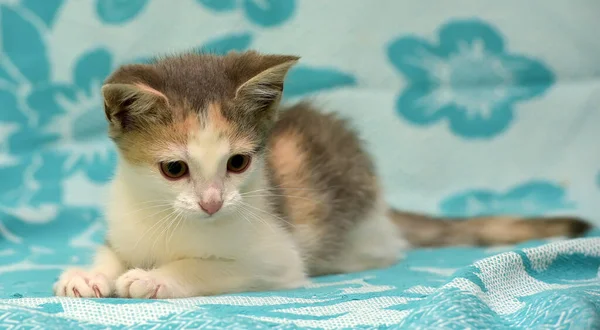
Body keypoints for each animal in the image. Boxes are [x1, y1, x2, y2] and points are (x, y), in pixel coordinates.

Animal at [52, 51, 592, 300]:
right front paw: (88, 273)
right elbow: (112, 251)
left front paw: (155, 277)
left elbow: (210, 266)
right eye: (174, 169)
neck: (171, 222)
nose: (212, 202)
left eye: (237, 163)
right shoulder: (126, 222)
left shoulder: (278, 257)